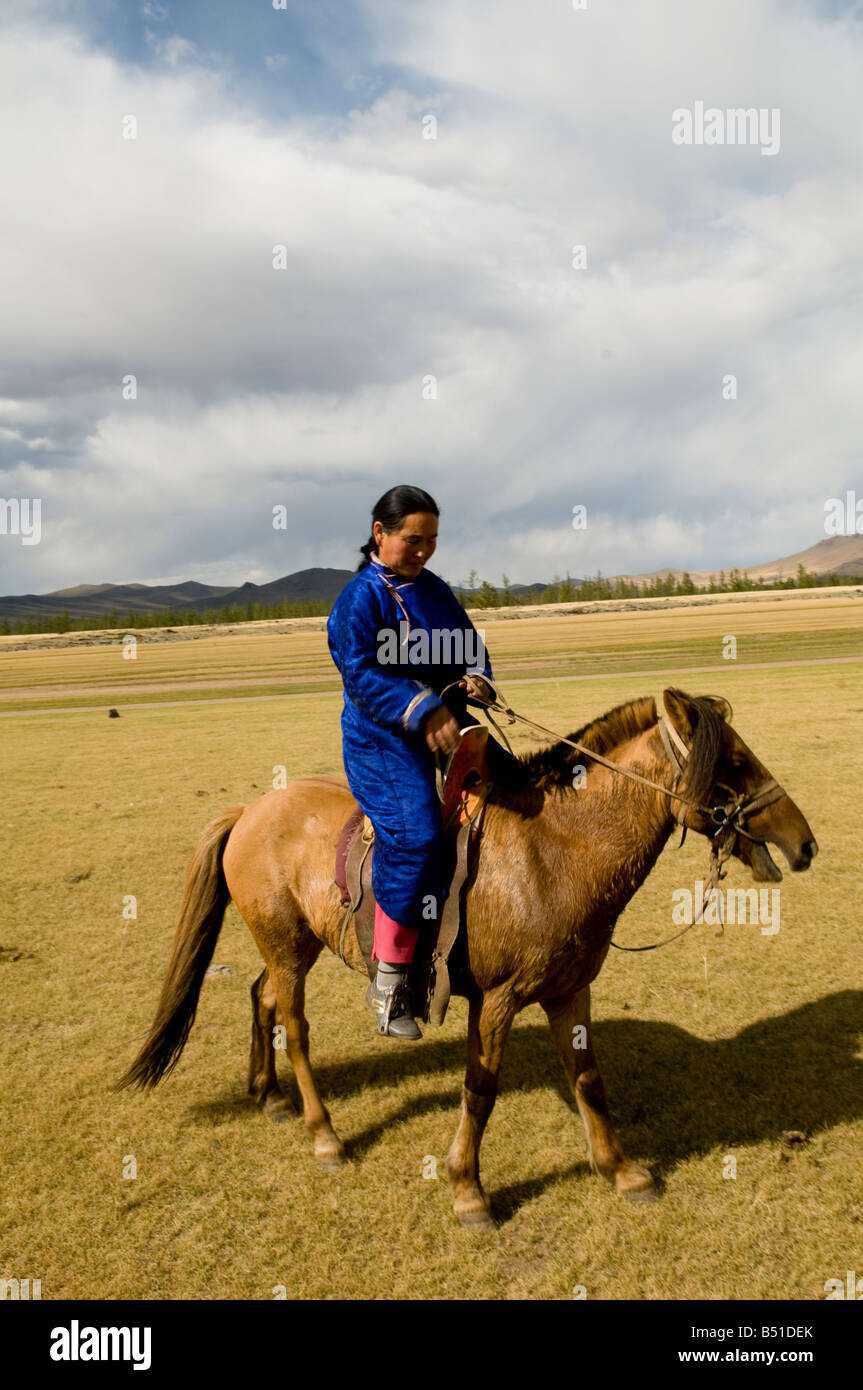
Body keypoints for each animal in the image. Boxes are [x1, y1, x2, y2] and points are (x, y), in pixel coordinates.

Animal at [116, 687, 817, 1226]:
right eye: (732, 760)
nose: (804, 841)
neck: (554, 851)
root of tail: (250, 809)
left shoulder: (571, 990)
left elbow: (588, 1079)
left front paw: (621, 1171)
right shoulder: (498, 1000)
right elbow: (480, 1091)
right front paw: (468, 1190)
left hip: (294, 943)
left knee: (261, 996)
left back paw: (268, 1096)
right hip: (290, 948)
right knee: (297, 1027)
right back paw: (325, 1134)